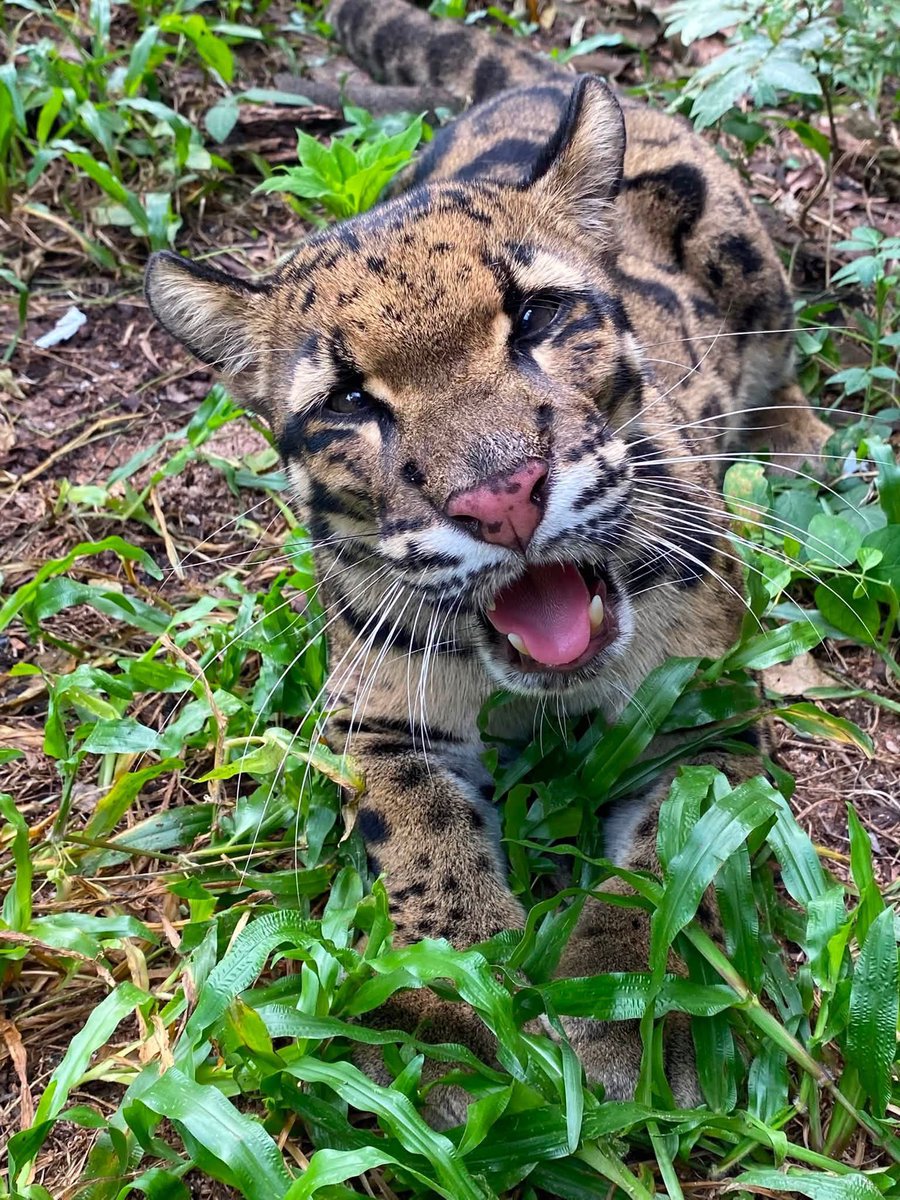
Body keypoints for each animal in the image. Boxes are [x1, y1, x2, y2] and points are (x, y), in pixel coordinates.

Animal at [144, 0, 830, 1124]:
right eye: (348, 401)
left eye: (541, 317)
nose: (501, 498)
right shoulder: (377, 722)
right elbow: (424, 853)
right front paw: (468, 1020)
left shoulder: (703, 700)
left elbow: (667, 865)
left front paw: (628, 1006)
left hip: (751, 268)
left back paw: (794, 435)